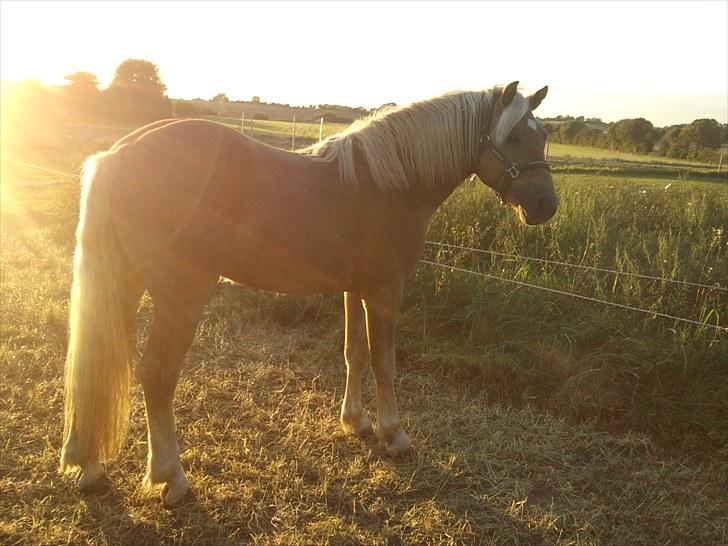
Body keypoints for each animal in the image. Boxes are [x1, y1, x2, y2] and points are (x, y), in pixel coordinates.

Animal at [59, 79, 556, 502]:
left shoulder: (356, 289)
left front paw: (356, 421)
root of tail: (120, 152)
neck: (390, 181)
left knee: (104, 358)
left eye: (544, 135)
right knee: (157, 374)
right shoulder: (385, 289)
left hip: (126, 286)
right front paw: (394, 434)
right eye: (514, 137)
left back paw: (90, 467)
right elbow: (385, 363)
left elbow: (354, 353)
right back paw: (172, 478)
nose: (545, 206)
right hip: (179, 296)